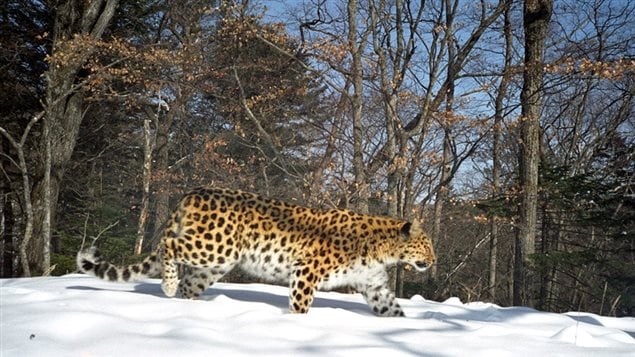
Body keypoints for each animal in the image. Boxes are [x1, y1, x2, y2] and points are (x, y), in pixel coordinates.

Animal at [76, 185, 438, 316]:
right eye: (427, 244)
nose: (434, 260)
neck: (385, 250)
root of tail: (193, 192)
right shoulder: (307, 271)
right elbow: (301, 305)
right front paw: (295, 324)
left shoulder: (374, 285)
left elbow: (392, 309)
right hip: (213, 247)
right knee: (169, 246)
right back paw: (167, 286)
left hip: (216, 263)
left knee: (190, 283)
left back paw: (191, 308)